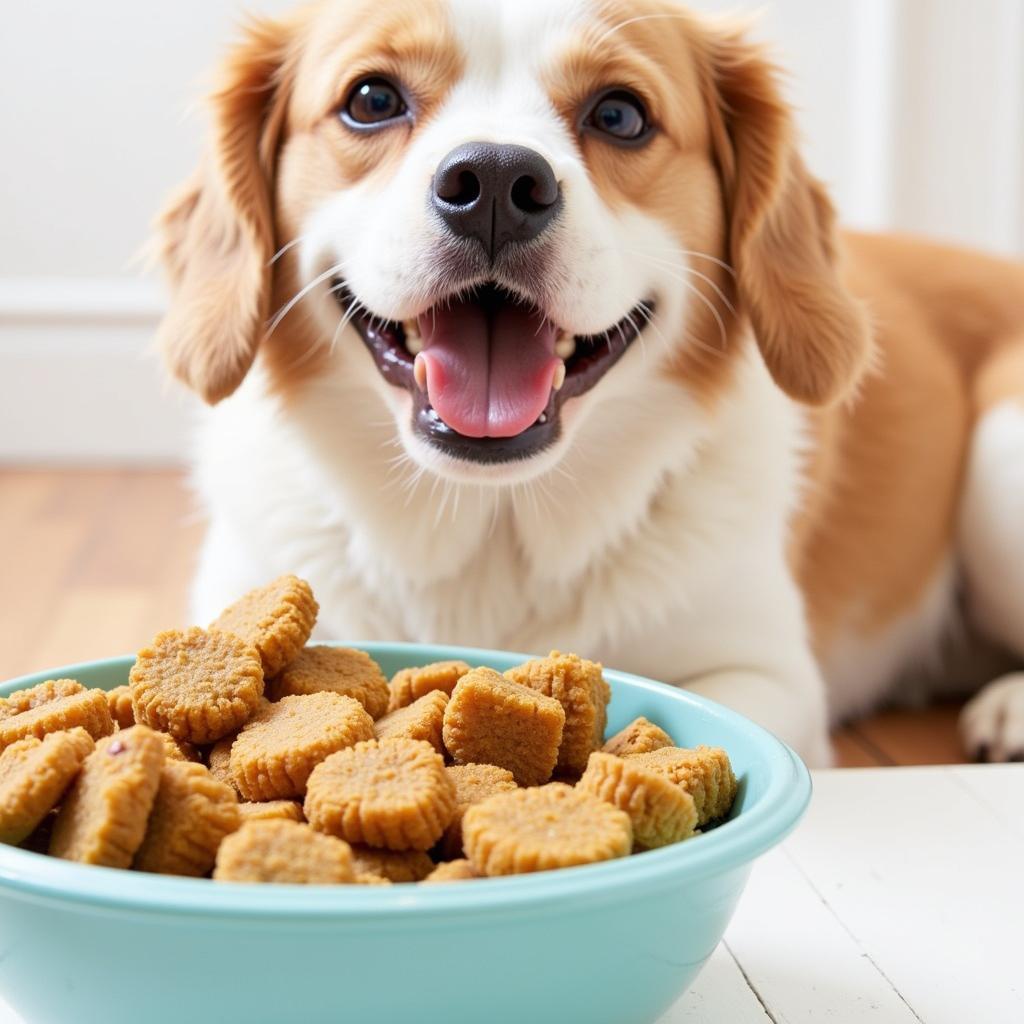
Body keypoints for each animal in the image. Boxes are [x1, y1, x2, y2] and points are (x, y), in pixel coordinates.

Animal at [155, 0, 1024, 770]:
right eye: (372, 100)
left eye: (619, 115)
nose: (495, 181)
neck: (492, 524)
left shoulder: (765, 674)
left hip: (998, 457)